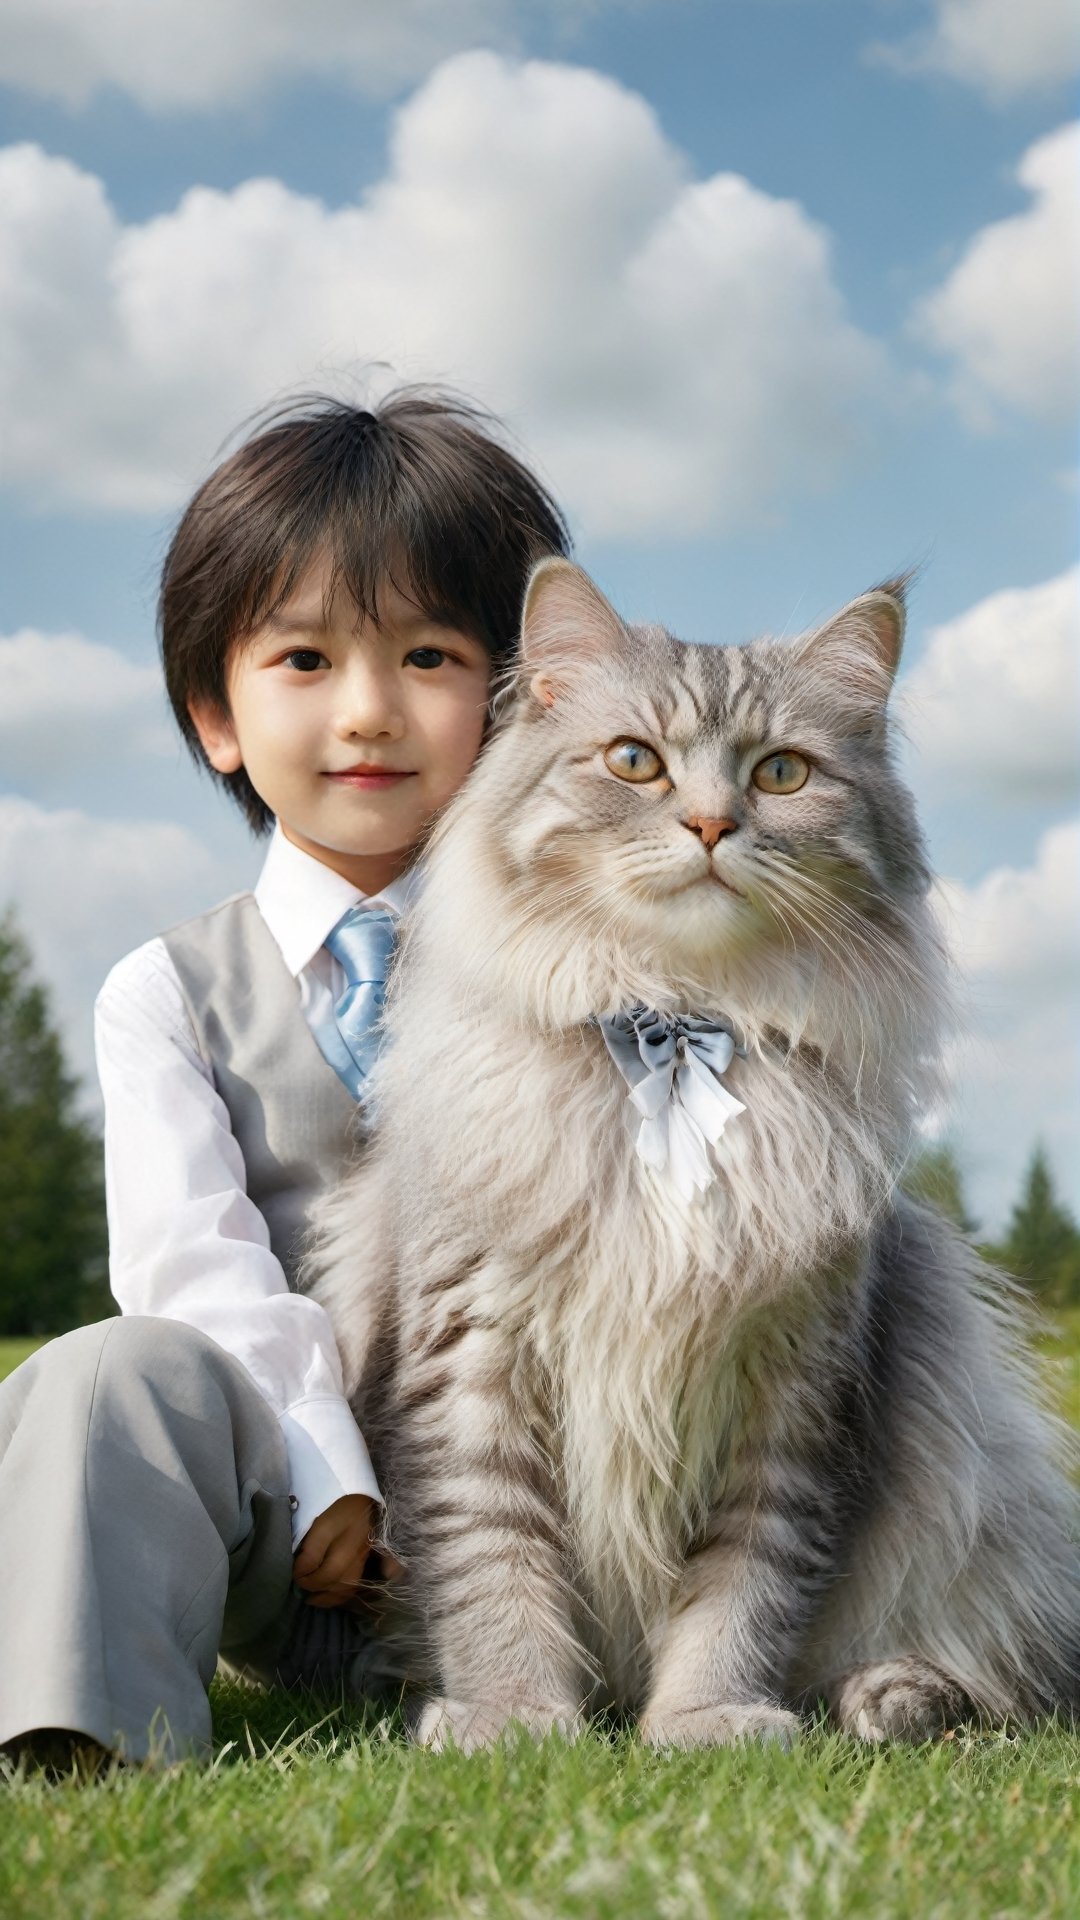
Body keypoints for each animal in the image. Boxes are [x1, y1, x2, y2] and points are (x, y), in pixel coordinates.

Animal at [305, 560, 1076, 1758]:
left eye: (782, 773)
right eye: (635, 760)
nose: (712, 823)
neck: (674, 1027)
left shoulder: (792, 1386)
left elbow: (744, 1589)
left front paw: (708, 1721)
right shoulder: (472, 1358)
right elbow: (494, 1568)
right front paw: (511, 1721)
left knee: (986, 1671)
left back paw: (884, 1699)